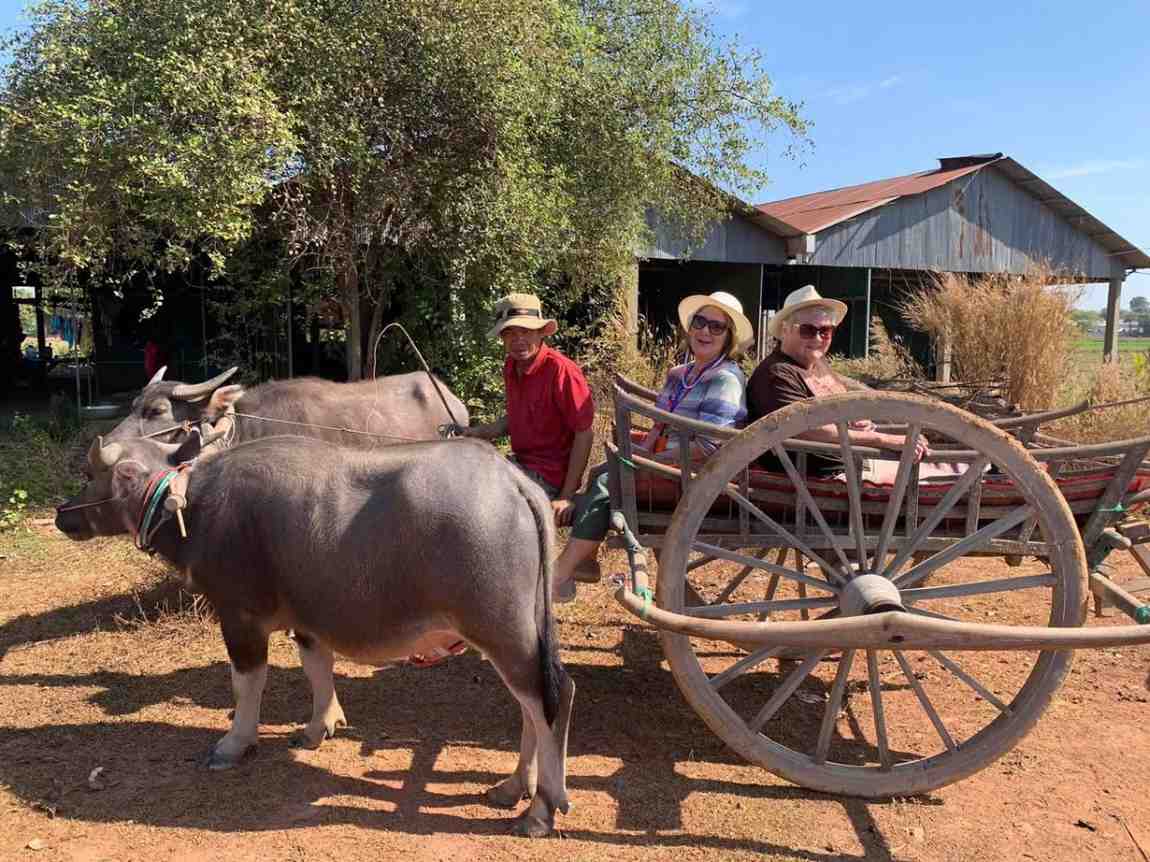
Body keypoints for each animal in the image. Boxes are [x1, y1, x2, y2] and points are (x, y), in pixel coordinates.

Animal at [56, 432, 573, 836]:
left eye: (89, 472)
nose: (63, 514)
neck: (194, 504)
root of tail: (514, 482)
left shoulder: (239, 616)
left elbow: (247, 683)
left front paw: (234, 744)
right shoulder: (307, 619)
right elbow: (317, 668)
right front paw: (318, 726)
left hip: (501, 627)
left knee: (552, 698)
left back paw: (540, 810)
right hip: (522, 630)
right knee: (533, 701)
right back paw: (513, 787)